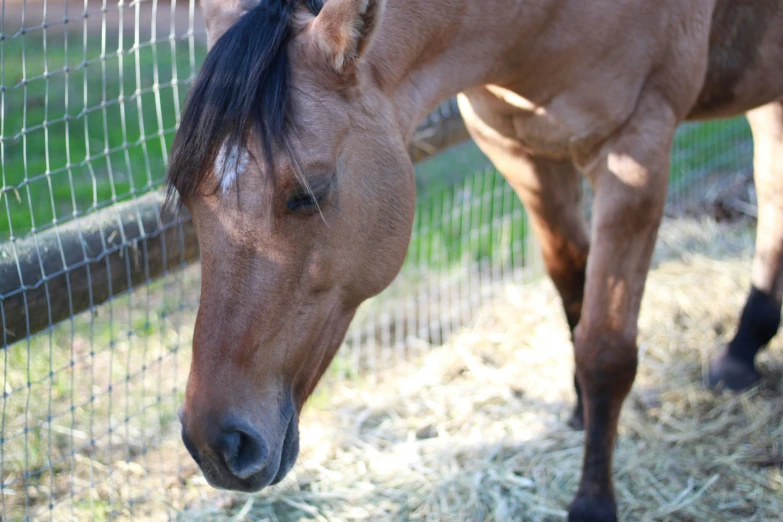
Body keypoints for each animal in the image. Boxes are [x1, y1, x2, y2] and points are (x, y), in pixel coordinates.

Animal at [167, 2, 783, 516]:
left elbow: (607, 349)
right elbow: (574, 292)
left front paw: (593, 501)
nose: (216, 444)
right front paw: (580, 414)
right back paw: (741, 352)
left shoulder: (636, 153)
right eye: (188, 196)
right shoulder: (519, 152)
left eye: (308, 192)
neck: (539, 22)